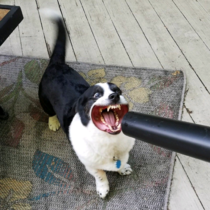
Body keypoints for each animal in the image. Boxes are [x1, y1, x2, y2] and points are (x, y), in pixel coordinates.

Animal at [38, 9, 135, 199]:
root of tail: (56, 64)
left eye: (118, 90)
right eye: (96, 95)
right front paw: (103, 189)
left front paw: (123, 169)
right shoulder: (90, 165)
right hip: (43, 99)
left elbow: (121, 163)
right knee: (49, 112)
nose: (114, 96)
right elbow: (101, 175)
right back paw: (53, 122)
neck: (108, 140)